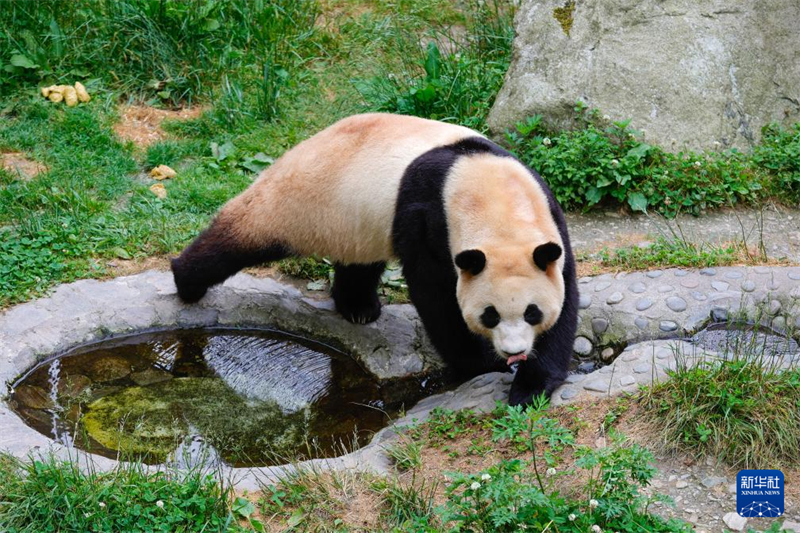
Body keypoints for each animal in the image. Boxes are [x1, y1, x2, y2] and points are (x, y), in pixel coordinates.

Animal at [171, 113, 578, 406]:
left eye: (531, 312)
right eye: (490, 314)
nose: (514, 352)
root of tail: (307, 142)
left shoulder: (548, 219)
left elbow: (565, 293)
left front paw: (531, 385)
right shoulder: (429, 215)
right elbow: (435, 293)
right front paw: (480, 363)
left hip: (357, 217)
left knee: (359, 261)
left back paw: (358, 308)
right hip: (301, 199)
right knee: (242, 235)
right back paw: (186, 280)